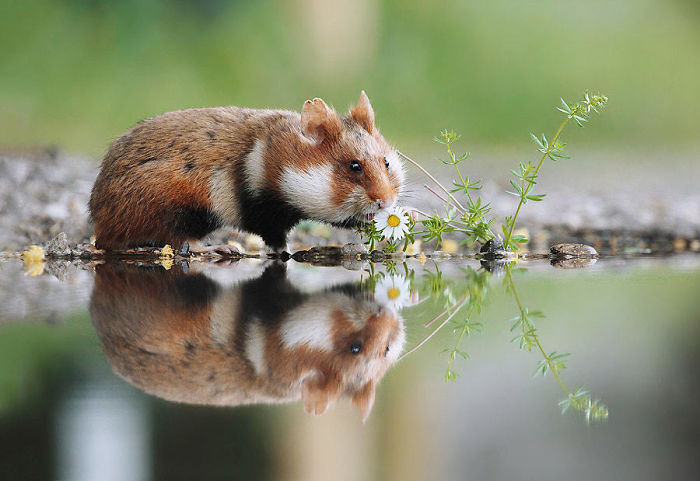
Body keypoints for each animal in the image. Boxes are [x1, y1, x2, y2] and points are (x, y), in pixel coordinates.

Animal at [88, 91, 404, 251]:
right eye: (354, 166)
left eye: (386, 162)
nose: (386, 202)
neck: (281, 161)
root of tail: (100, 223)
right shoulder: (266, 213)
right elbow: (277, 244)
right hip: (175, 207)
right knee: (180, 240)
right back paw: (222, 249)